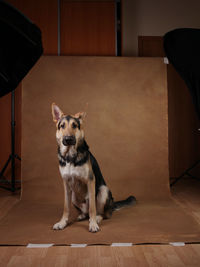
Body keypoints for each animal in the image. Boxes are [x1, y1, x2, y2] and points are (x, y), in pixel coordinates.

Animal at [51, 103, 136, 233]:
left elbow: (92, 207)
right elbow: (66, 208)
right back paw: (81, 215)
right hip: (73, 196)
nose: (68, 139)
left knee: (103, 213)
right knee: (85, 212)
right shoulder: (66, 184)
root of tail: (112, 205)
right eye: (62, 126)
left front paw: (93, 224)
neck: (70, 157)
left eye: (74, 125)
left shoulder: (90, 181)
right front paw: (62, 223)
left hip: (103, 191)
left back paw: (97, 218)